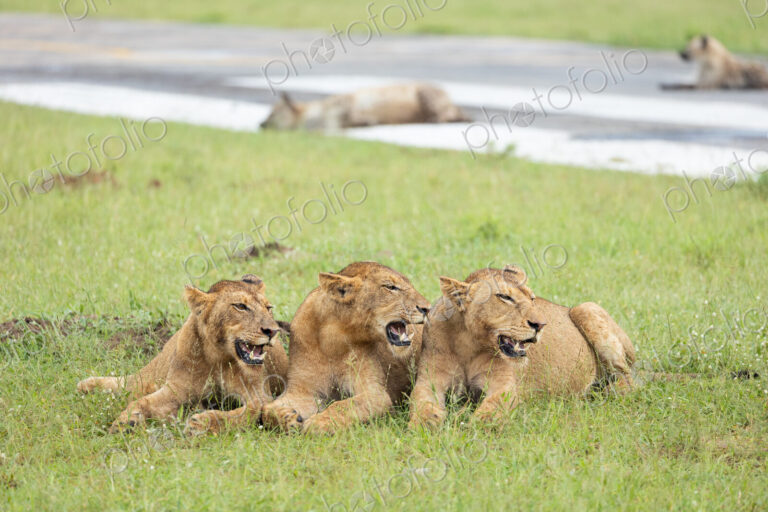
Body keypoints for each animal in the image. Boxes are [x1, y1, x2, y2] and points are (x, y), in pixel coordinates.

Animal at [77, 275, 289, 435]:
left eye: (268, 308)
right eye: (240, 306)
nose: (273, 331)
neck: (218, 356)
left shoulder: (260, 395)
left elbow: (251, 410)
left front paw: (201, 423)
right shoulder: (175, 390)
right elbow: (142, 401)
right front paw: (124, 423)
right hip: (150, 375)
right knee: (129, 383)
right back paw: (87, 385)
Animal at [261, 261, 430, 434]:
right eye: (390, 287)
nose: (427, 308)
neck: (332, 340)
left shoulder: (376, 394)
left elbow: (343, 405)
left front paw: (317, 423)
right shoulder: (302, 391)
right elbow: (267, 409)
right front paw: (287, 416)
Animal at [409, 266, 636, 428]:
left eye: (532, 298)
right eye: (505, 297)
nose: (540, 325)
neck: (469, 344)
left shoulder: (506, 386)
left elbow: (493, 407)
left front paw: (475, 422)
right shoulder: (430, 380)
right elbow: (421, 401)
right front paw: (426, 422)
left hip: (586, 308)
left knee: (628, 378)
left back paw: (607, 392)